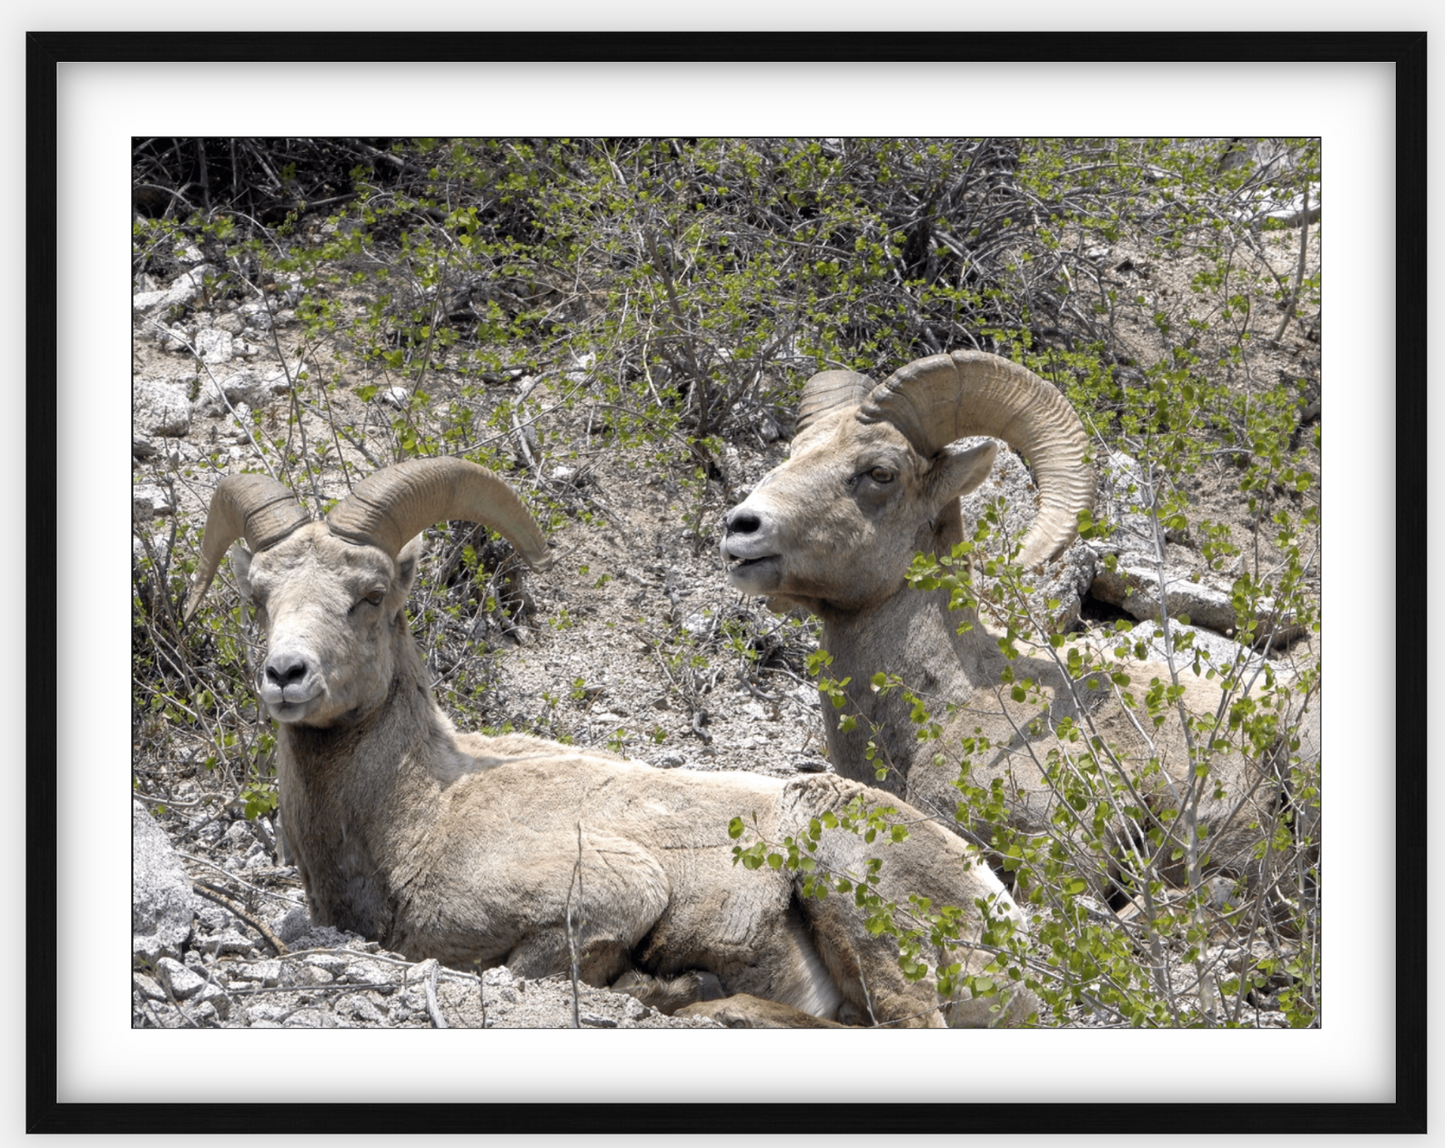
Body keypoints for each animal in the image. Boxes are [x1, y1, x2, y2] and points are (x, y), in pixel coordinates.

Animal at [183, 451, 1040, 1023]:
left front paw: (672, 983)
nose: (286, 675)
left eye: (367, 596)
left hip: (858, 897)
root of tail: (999, 910)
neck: (419, 818)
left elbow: (550, 967)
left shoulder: (608, 897)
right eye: (259, 596)